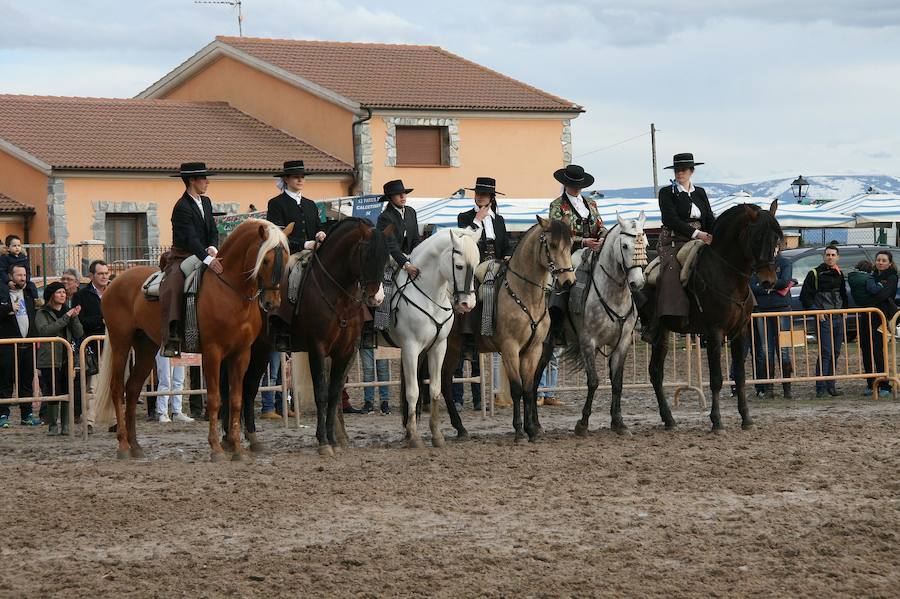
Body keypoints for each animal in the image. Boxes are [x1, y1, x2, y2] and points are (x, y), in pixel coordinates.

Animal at [92, 219, 288, 460]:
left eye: (286, 259)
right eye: (266, 259)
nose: (272, 303)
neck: (230, 290)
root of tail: (114, 282)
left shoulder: (241, 353)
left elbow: (236, 399)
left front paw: (237, 448)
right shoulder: (213, 352)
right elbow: (215, 398)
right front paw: (216, 448)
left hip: (146, 348)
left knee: (133, 389)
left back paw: (136, 446)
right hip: (121, 342)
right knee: (118, 388)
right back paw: (122, 446)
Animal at [376, 227, 482, 448]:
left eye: (476, 265)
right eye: (459, 266)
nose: (467, 304)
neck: (428, 296)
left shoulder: (438, 347)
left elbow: (434, 388)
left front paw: (436, 435)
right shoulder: (410, 348)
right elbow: (413, 391)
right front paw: (414, 436)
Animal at [436, 218, 576, 442]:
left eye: (570, 245)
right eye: (553, 245)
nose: (568, 282)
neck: (525, 296)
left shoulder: (534, 350)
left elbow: (528, 388)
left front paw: (531, 429)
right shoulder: (510, 348)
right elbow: (517, 388)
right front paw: (519, 430)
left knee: (443, 382)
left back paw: (459, 428)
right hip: (449, 349)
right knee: (444, 384)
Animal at [548, 214, 648, 436]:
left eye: (645, 244)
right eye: (625, 245)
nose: (637, 283)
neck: (613, 295)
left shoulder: (622, 344)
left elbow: (617, 383)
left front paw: (618, 422)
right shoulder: (588, 342)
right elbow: (593, 381)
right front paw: (583, 423)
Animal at [640, 202, 780, 432]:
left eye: (777, 238)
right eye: (757, 237)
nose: (769, 281)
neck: (728, 277)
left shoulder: (740, 333)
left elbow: (740, 376)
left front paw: (746, 419)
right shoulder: (715, 333)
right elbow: (716, 378)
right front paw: (717, 421)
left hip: (662, 332)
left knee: (655, 372)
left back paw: (668, 419)